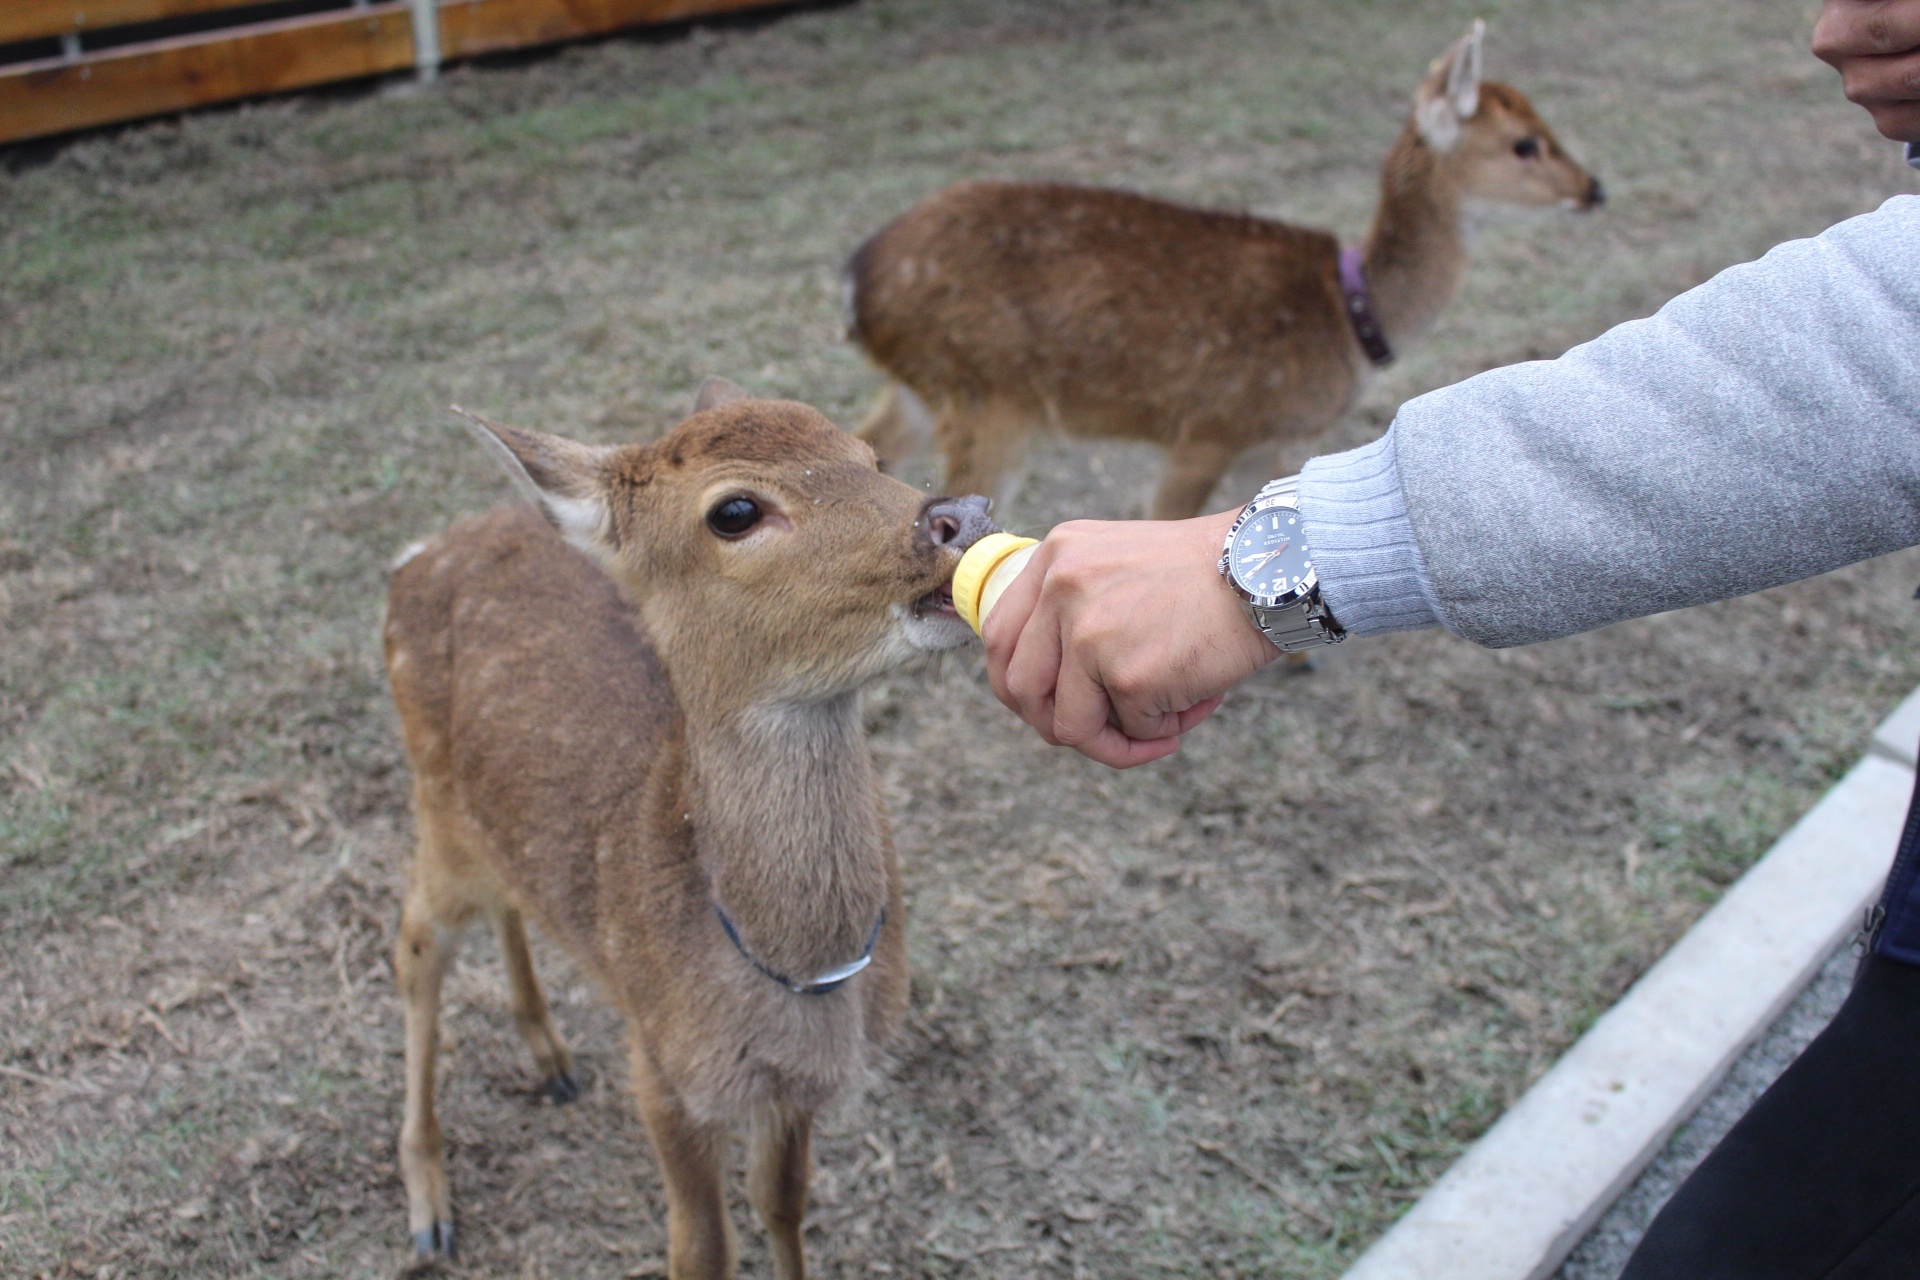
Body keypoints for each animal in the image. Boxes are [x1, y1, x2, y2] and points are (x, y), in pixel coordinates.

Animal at [384, 383, 998, 1280]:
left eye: (868, 454)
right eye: (734, 511)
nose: (964, 514)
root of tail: (417, 553)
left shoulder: (794, 1090)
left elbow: (783, 1203)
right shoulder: (664, 1070)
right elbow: (700, 1246)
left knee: (509, 901)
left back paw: (551, 1058)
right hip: (433, 808)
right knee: (417, 944)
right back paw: (429, 1208)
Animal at [848, 23, 1597, 521]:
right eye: (1524, 144)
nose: (1595, 189)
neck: (1350, 321)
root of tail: (861, 282)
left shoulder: (1268, 446)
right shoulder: (1209, 427)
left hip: (923, 390)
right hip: (986, 399)